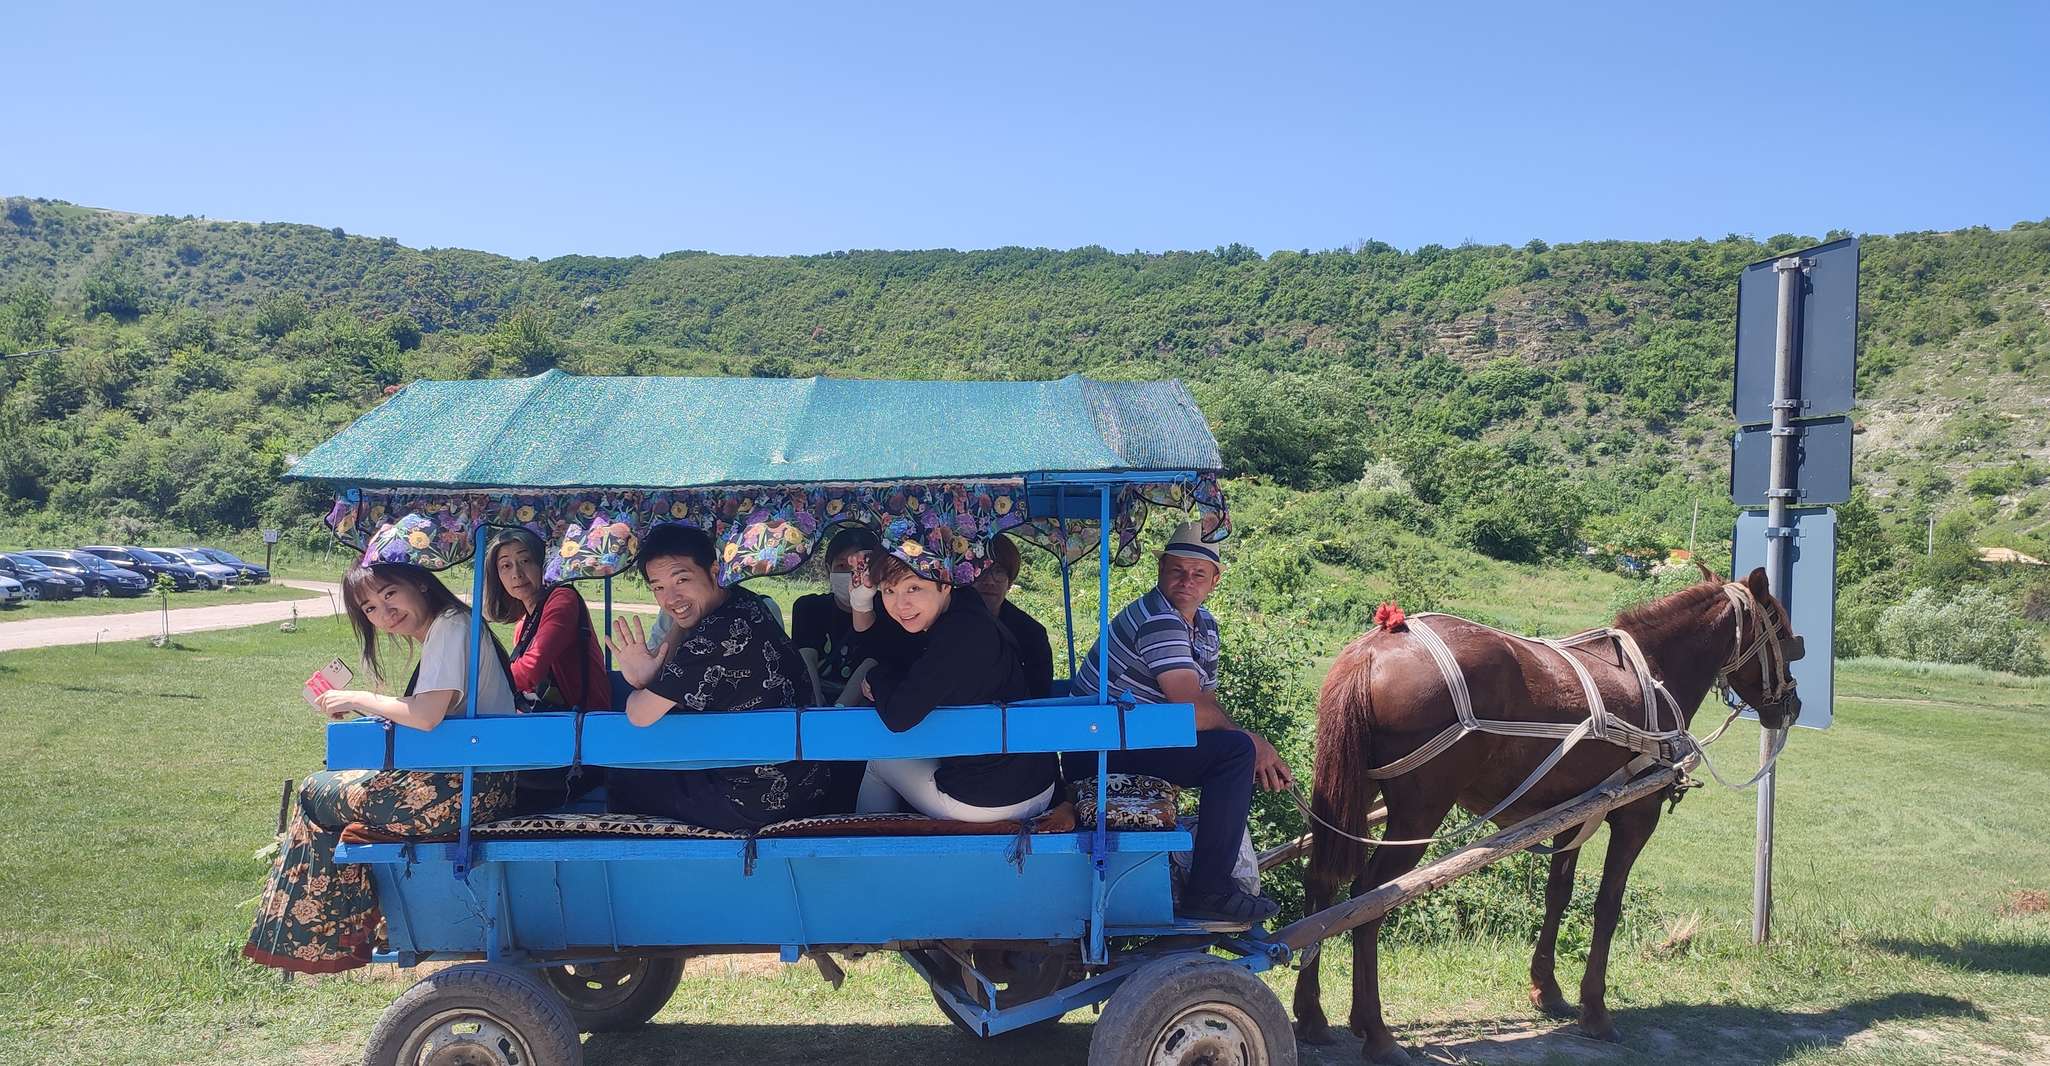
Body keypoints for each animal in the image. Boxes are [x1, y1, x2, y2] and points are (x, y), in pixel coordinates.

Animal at [1295, 561, 1795, 1057]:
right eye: (1786, 634)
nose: (1791, 704)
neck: (1654, 673)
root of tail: (1372, 650)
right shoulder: (1636, 816)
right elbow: (1607, 905)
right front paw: (1595, 1010)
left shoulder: (1571, 815)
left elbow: (1558, 894)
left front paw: (1547, 990)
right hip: (1418, 813)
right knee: (1369, 898)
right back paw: (1376, 1032)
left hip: (1351, 793)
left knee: (1322, 882)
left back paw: (1312, 1016)